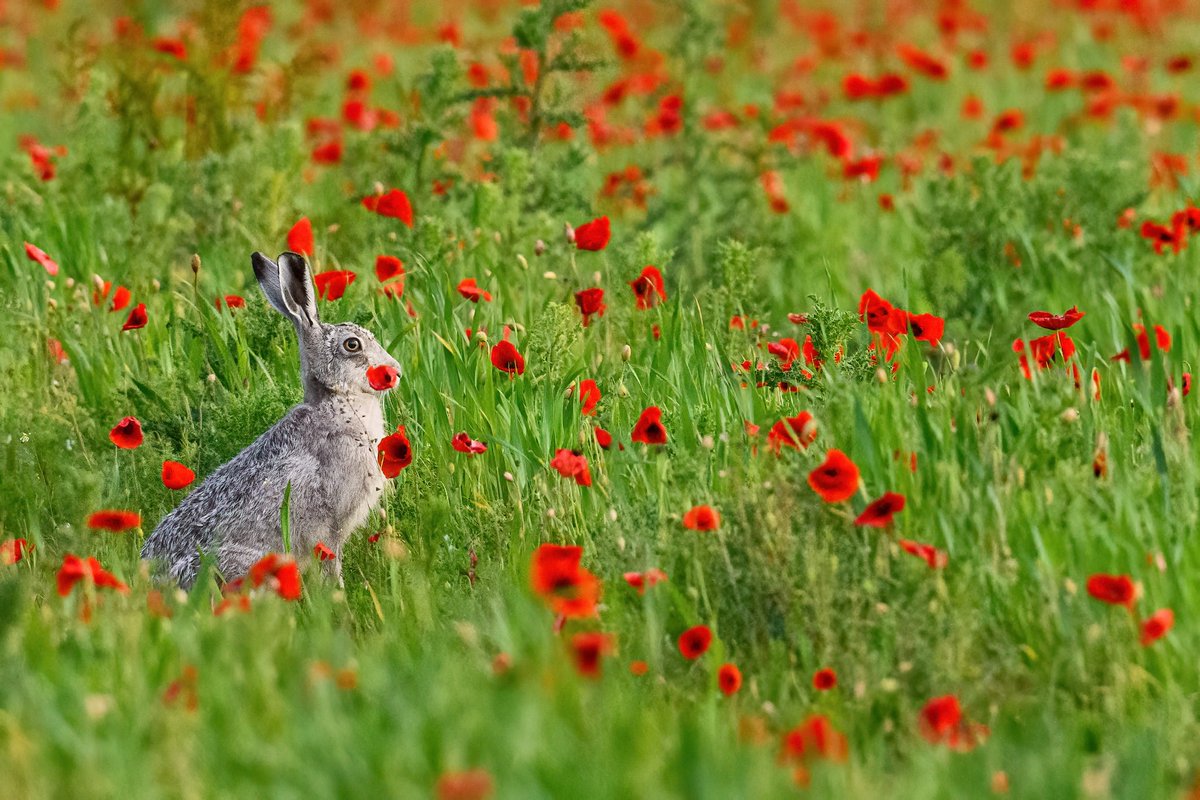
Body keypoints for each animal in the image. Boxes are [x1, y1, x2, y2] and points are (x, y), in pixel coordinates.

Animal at [141, 251, 401, 590]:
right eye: (352, 344)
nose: (396, 372)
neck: (336, 401)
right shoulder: (331, 522)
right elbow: (332, 561)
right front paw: (338, 594)